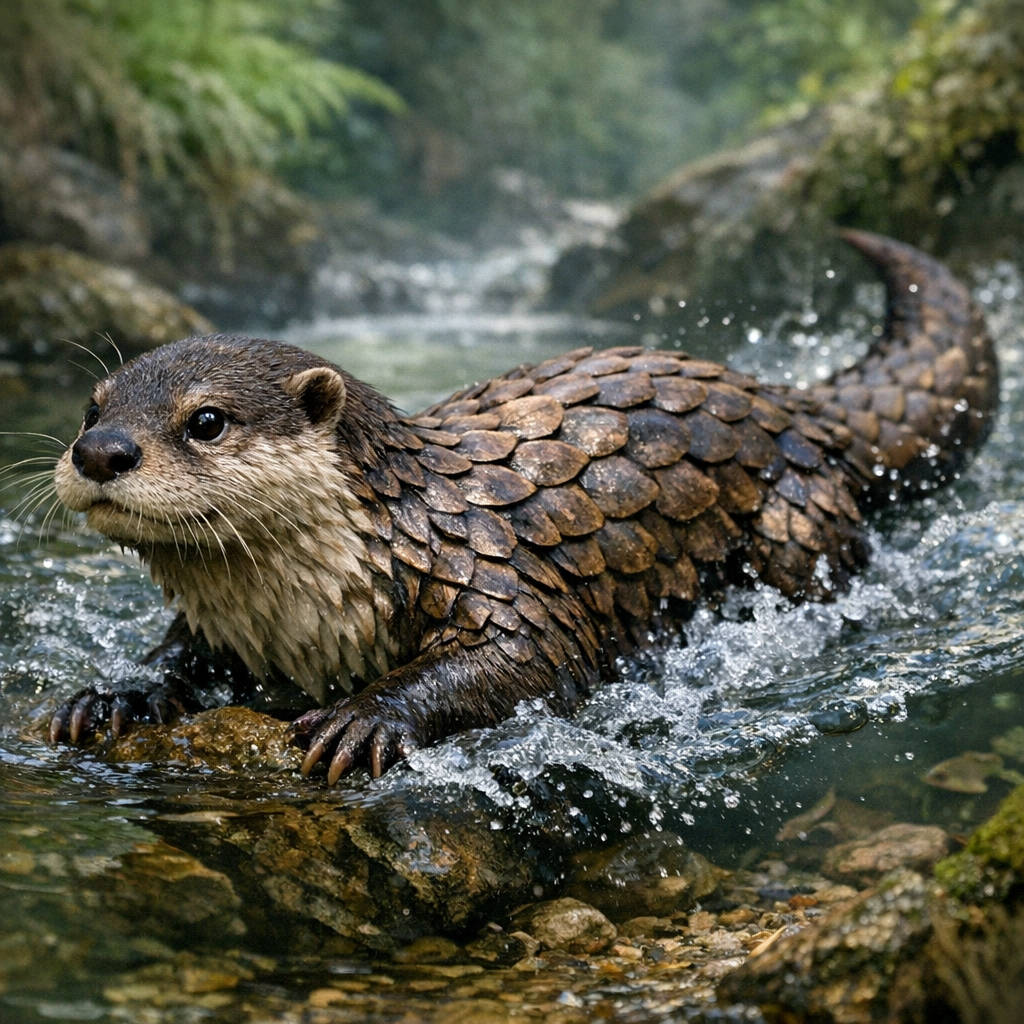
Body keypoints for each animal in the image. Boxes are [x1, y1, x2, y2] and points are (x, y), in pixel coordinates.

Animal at [50, 232, 997, 782]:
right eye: (92, 408)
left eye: (205, 420)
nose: (101, 453)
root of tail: (792, 399)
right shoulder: (240, 630)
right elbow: (181, 656)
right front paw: (116, 695)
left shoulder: (487, 566)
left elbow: (533, 651)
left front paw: (364, 718)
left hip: (796, 512)